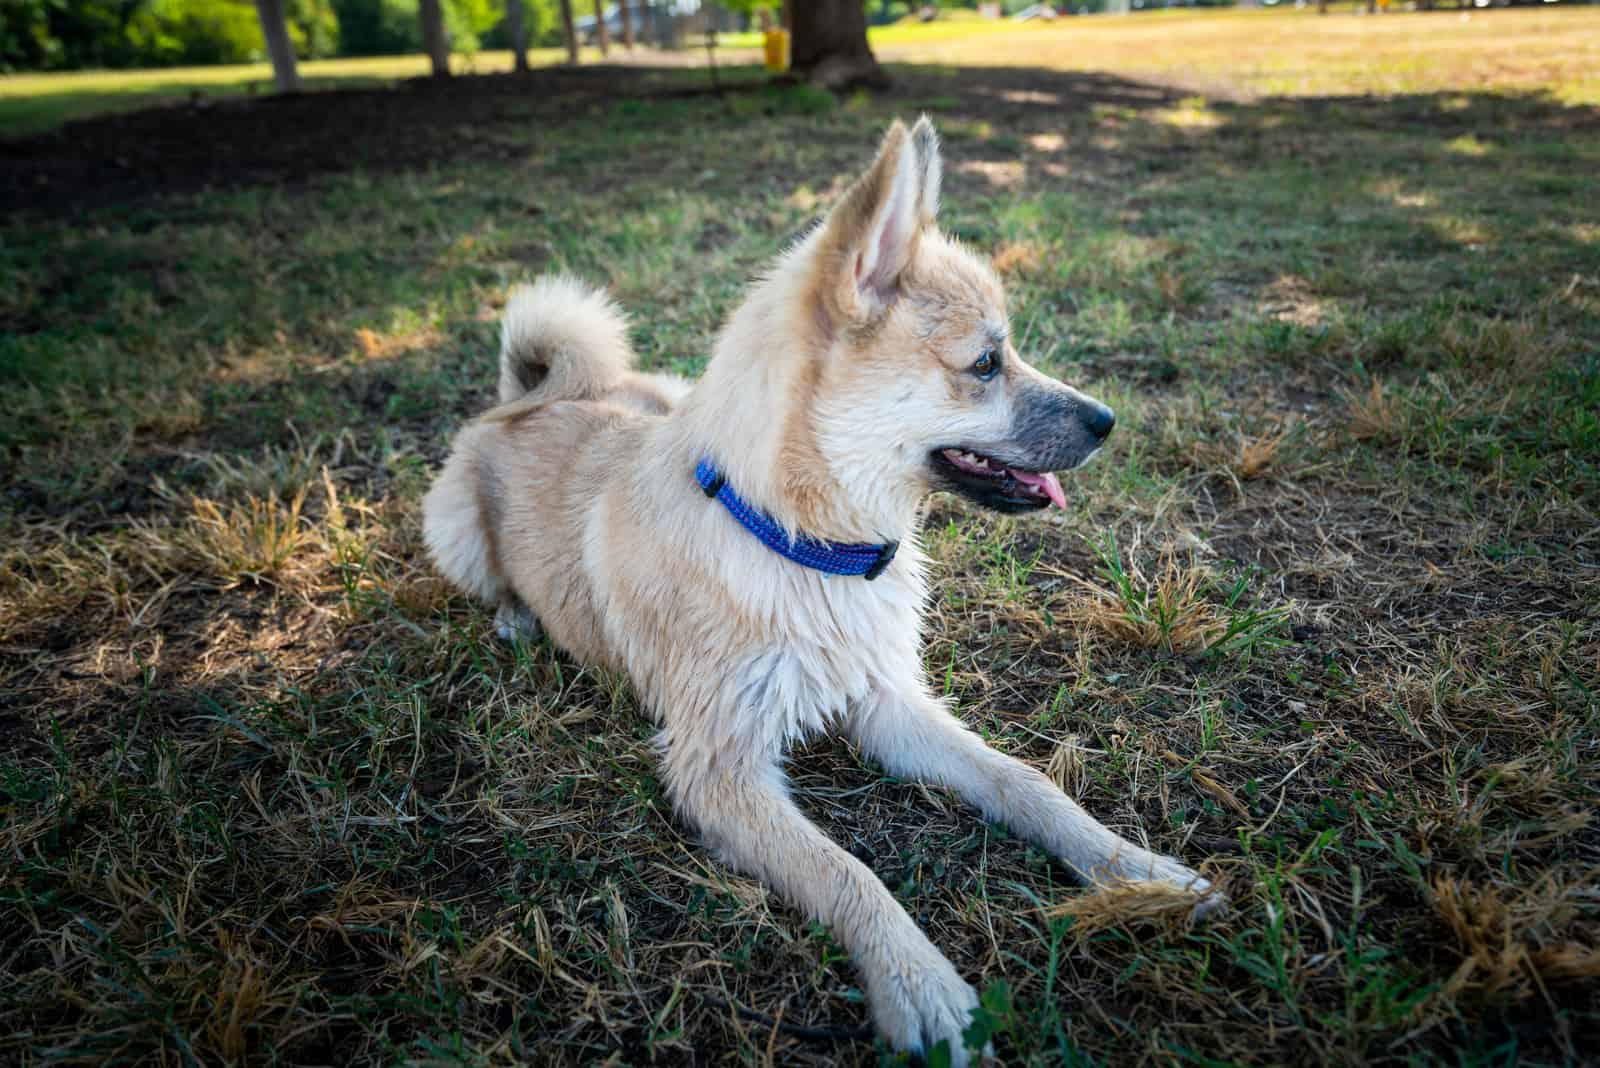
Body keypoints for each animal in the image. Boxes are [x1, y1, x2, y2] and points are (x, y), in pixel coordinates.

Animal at [419, 119, 1216, 1068]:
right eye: (986, 363)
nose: (1109, 422)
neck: (798, 541)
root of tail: (529, 396)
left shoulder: (887, 703)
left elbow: (1022, 782)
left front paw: (1132, 867)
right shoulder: (718, 769)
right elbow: (850, 874)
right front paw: (920, 987)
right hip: (456, 531)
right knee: (488, 579)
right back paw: (515, 619)